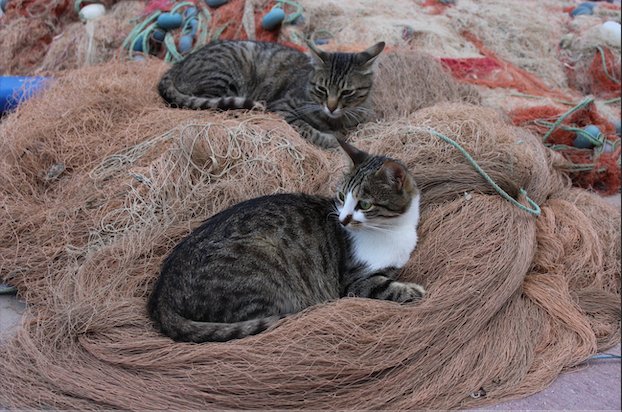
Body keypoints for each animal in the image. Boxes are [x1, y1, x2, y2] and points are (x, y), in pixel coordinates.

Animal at [149, 140, 426, 342]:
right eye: (340, 196)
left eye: (365, 204)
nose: (343, 219)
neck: (392, 230)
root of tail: (162, 293)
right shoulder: (353, 282)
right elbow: (384, 287)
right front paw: (414, 290)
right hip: (263, 263)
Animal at [157, 39, 386, 149]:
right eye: (321, 89)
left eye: (347, 92)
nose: (330, 107)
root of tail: (176, 67)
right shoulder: (284, 108)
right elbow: (308, 129)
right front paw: (332, 139)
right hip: (224, 76)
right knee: (215, 108)